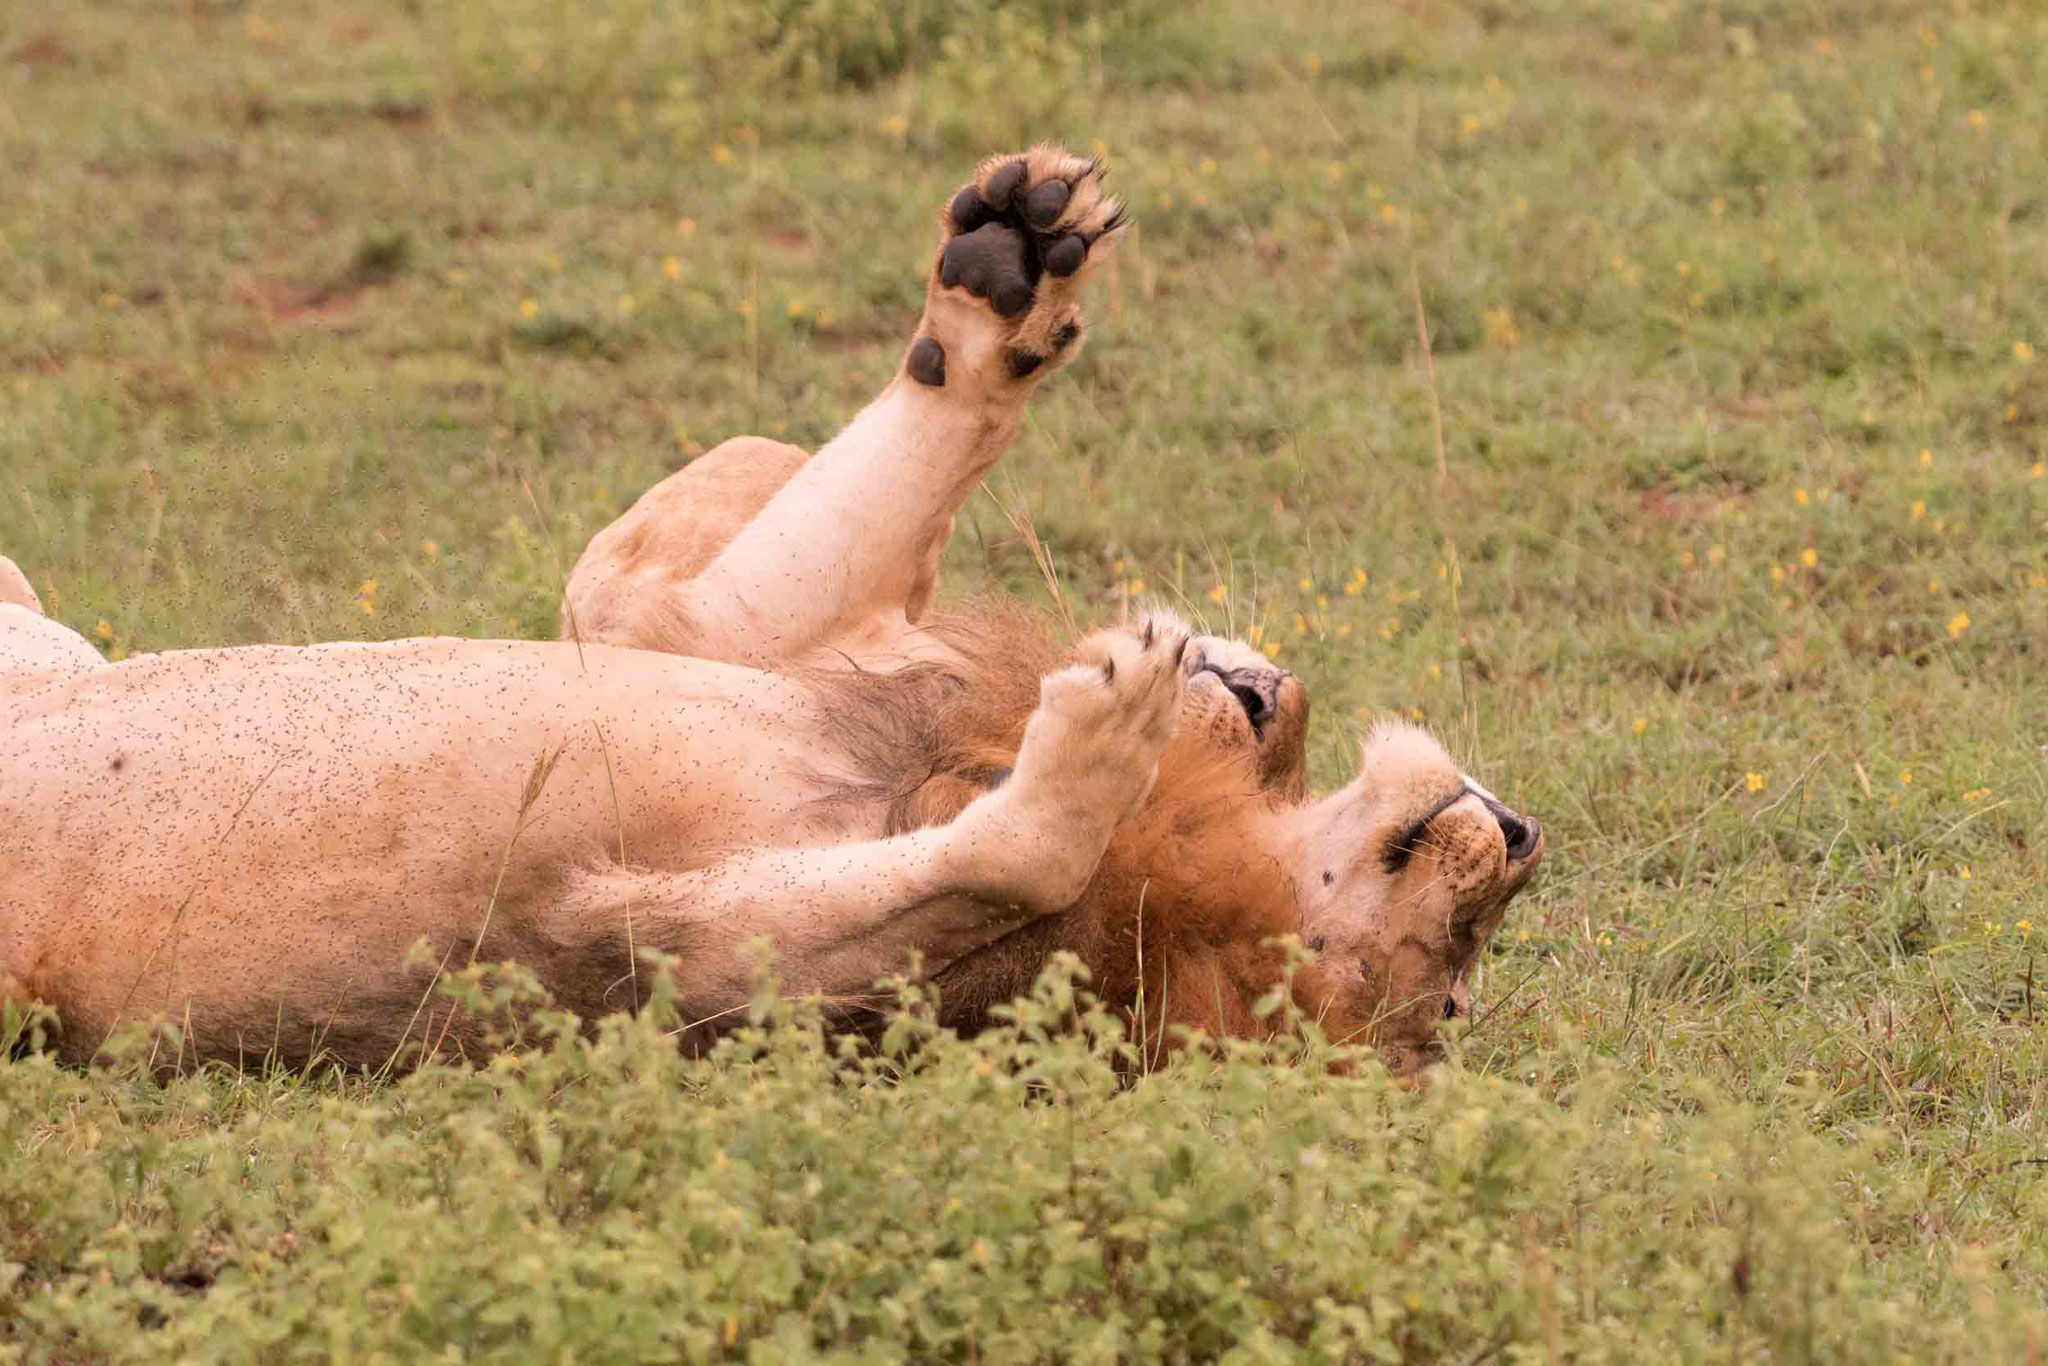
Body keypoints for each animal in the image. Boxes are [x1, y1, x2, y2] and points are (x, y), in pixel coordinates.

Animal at [0, 147, 1540, 1076]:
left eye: (1447, 990)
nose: (1520, 835)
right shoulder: (724, 641)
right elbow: (793, 491)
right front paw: (1011, 264)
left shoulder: (639, 941)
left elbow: (1014, 852)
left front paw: (1106, 727)